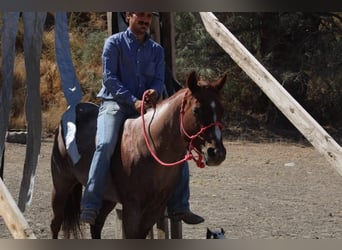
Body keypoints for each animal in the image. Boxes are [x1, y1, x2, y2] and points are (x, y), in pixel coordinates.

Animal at [49, 70, 227, 238]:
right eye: (196, 110)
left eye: (221, 110)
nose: (216, 152)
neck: (150, 147)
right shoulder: (132, 208)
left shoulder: (155, 208)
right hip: (61, 187)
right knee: (55, 224)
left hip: (107, 198)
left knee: (96, 225)